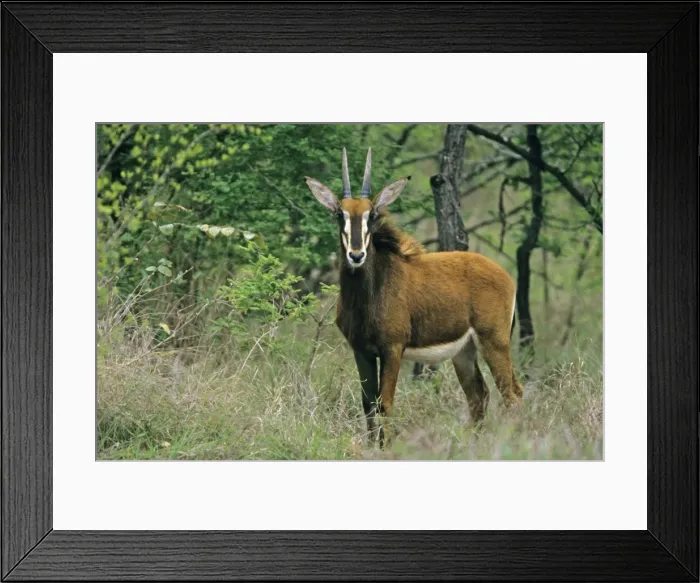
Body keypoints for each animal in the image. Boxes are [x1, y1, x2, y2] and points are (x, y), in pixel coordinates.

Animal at [305, 148, 523, 446]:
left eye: (371, 214)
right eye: (340, 213)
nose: (356, 255)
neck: (369, 294)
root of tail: (506, 276)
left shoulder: (392, 348)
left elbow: (385, 403)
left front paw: (385, 448)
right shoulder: (361, 349)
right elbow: (368, 403)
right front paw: (372, 447)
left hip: (494, 342)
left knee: (511, 395)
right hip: (464, 352)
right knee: (480, 395)